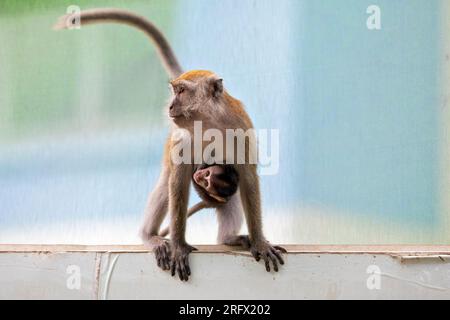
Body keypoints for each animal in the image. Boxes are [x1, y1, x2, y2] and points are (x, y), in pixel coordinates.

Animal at [55, 7, 284, 282]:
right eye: (175, 91)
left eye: (182, 91)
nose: (170, 106)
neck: (207, 124)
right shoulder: (181, 140)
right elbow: (178, 182)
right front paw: (178, 245)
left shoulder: (240, 130)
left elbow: (247, 178)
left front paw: (259, 242)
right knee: (167, 185)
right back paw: (149, 236)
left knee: (231, 186)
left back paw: (228, 238)